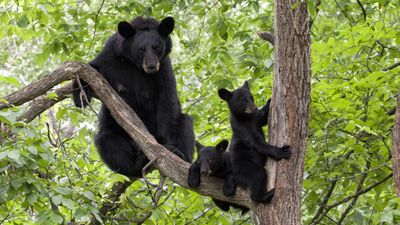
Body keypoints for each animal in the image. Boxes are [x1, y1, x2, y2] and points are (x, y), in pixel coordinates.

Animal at [74, 16, 197, 178]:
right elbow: (90, 68)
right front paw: (79, 96)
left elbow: (167, 100)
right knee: (107, 140)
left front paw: (170, 147)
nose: (151, 66)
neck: (135, 65)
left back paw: (181, 155)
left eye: (156, 47)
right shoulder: (110, 55)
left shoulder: (163, 67)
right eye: (141, 49)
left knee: (184, 122)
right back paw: (137, 164)